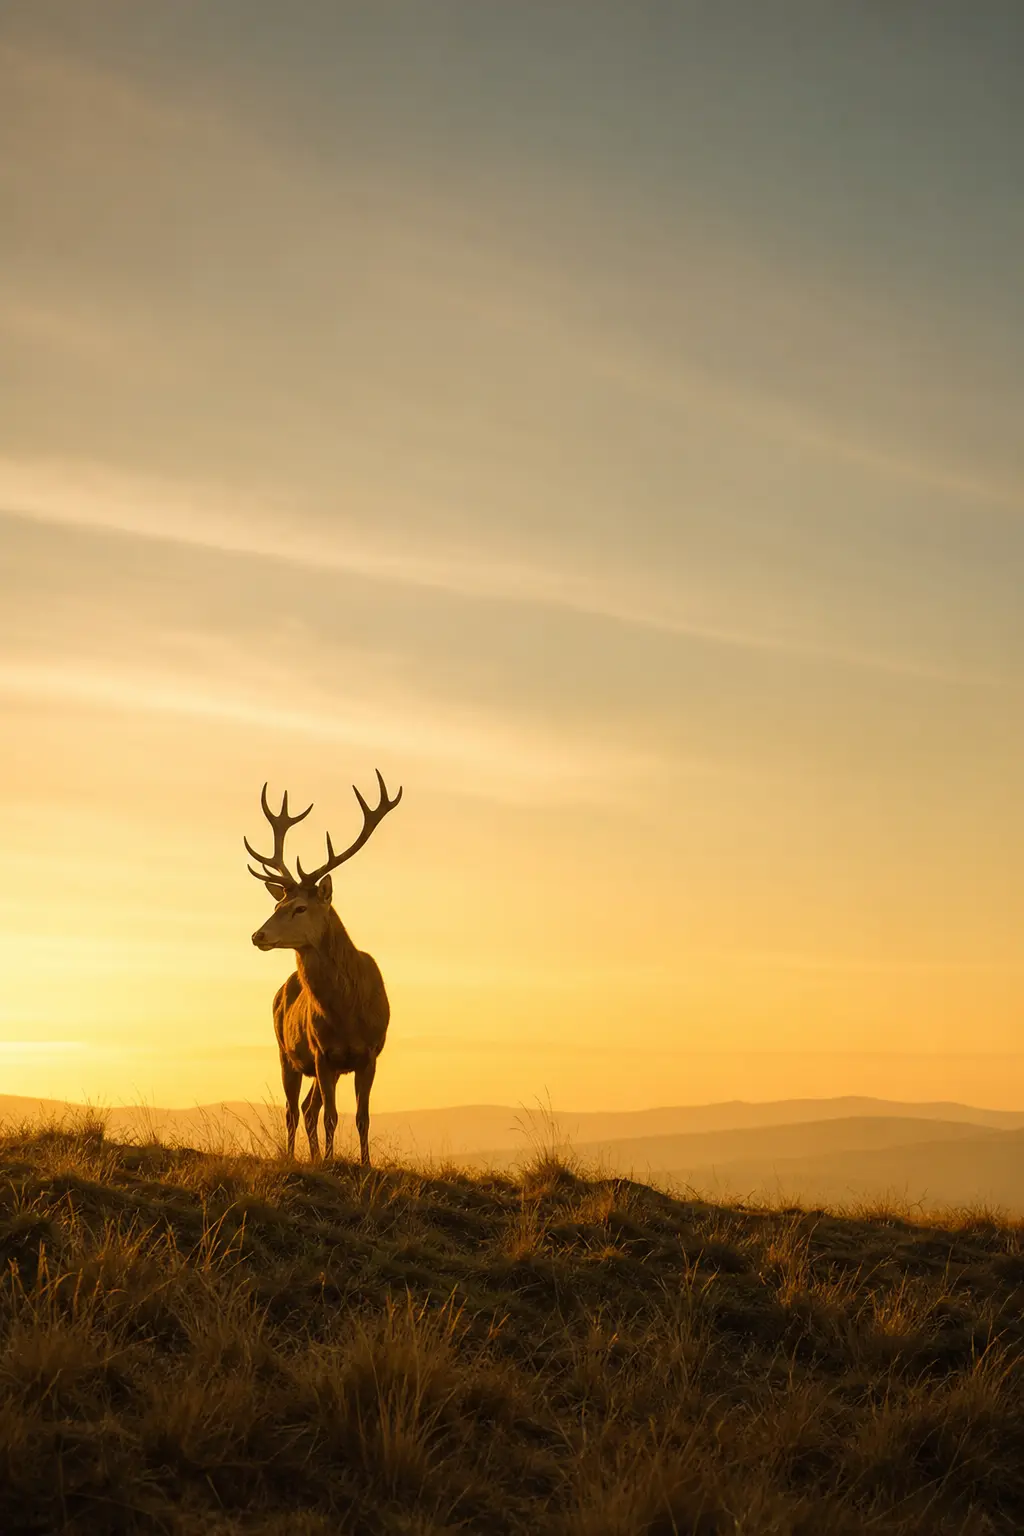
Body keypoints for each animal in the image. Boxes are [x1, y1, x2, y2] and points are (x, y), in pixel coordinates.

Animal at [246, 770, 402, 1166]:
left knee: (306, 1107)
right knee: (293, 1109)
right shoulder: (322, 1053)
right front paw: (331, 1162)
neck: (347, 1012)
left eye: (300, 907)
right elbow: (331, 1115)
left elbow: (362, 1117)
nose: (258, 935)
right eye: (278, 904)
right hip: (286, 1053)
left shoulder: (369, 1053)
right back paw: (295, 1156)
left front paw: (364, 1163)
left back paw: (314, 1156)